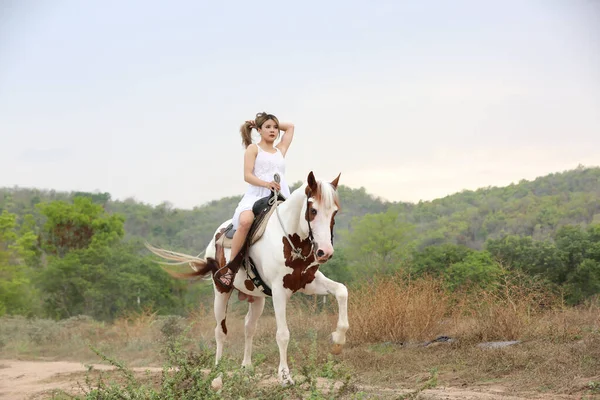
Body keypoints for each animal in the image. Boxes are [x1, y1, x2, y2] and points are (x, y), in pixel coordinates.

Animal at [145, 170, 350, 386]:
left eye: (334, 212)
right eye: (313, 210)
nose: (325, 252)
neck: (290, 240)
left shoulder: (308, 283)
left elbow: (342, 291)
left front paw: (337, 341)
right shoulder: (279, 292)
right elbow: (283, 334)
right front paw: (285, 376)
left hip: (257, 299)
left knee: (249, 328)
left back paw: (247, 368)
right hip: (221, 292)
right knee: (220, 331)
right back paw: (217, 374)